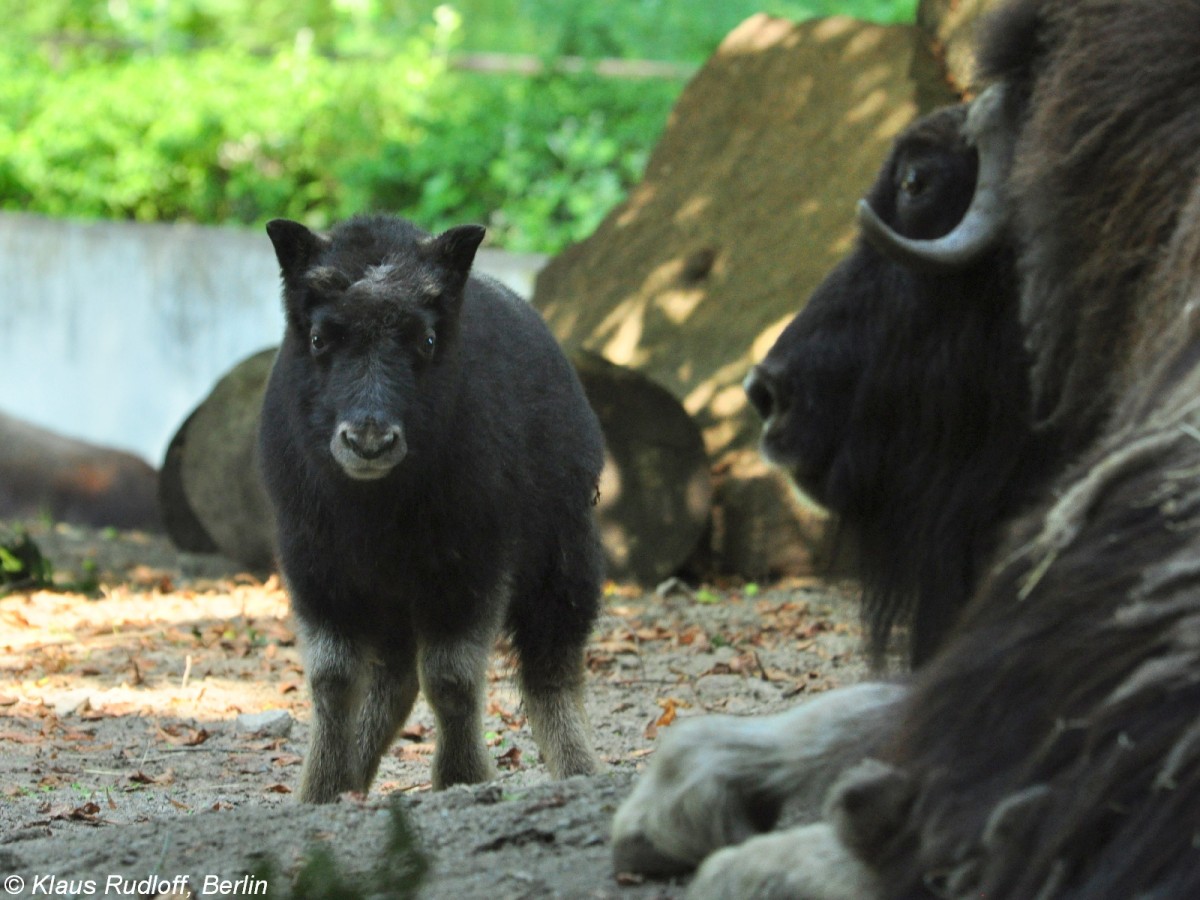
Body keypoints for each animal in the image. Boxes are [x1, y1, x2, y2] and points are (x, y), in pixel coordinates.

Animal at [259, 213, 604, 801]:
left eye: (425, 337)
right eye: (318, 337)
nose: (369, 441)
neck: (376, 505)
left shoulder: (470, 567)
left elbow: (451, 678)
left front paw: (462, 778)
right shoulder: (316, 569)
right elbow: (333, 679)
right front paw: (323, 789)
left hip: (564, 563)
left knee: (551, 667)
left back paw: (580, 769)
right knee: (393, 679)